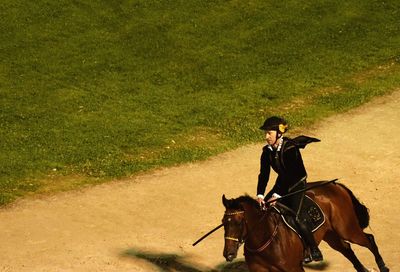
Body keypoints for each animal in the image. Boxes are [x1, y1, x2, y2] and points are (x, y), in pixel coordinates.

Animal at [220, 181, 390, 272]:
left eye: (238, 222)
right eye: (223, 223)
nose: (228, 254)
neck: (264, 240)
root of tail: (335, 185)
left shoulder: (293, 268)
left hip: (347, 229)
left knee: (369, 239)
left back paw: (383, 267)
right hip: (331, 235)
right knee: (347, 249)